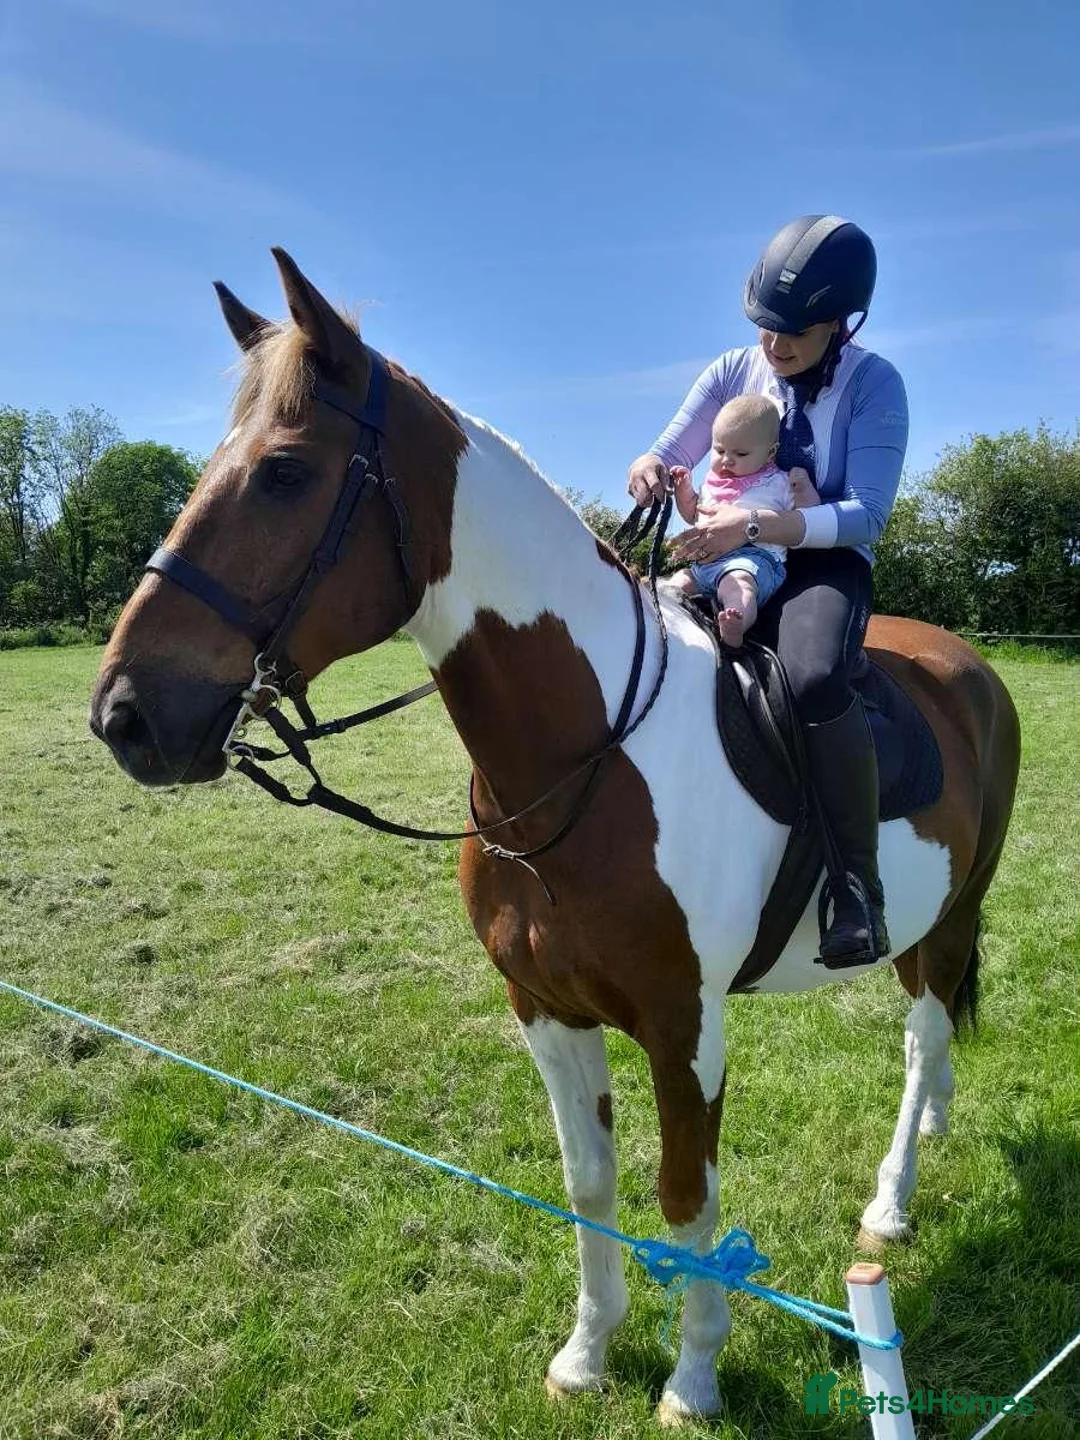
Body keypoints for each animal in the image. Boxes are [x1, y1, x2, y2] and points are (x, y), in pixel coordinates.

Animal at [90, 249, 1020, 1426]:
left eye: (286, 474)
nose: (124, 714)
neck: (584, 758)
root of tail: (968, 664)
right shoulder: (543, 1009)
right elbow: (589, 1183)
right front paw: (587, 1353)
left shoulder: (683, 1025)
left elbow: (684, 1197)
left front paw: (694, 1377)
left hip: (949, 916)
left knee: (923, 1036)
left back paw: (892, 1202)